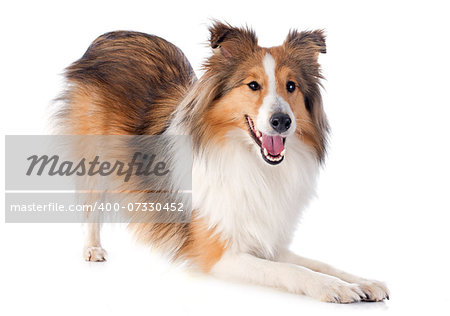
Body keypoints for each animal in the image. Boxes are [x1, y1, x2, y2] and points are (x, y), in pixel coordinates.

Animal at [59, 21, 390, 302]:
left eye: (291, 86)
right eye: (253, 85)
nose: (282, 121)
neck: (252, 163)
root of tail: (111, 35)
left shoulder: (266, 240)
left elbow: (317, 263)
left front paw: (362, 282)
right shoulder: (219, 254)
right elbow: (293, 271)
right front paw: (336, 288)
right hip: (93, 157)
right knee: (91, 208)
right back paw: (93, 249)